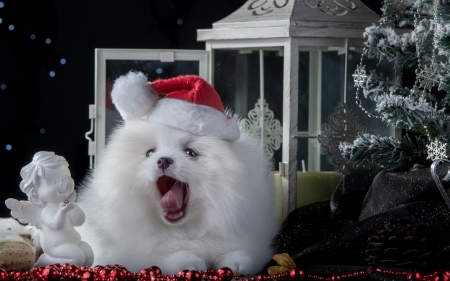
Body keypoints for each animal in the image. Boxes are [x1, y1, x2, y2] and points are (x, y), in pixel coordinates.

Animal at [77, 71, 278, 274]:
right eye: (150, 153)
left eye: (190, 152)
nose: (163, 160)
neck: (185, 228)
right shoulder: (130, 252)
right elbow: (160, 256)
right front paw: (189, 262)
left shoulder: (251, 237)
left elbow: (242, 252)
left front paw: (237, 263)